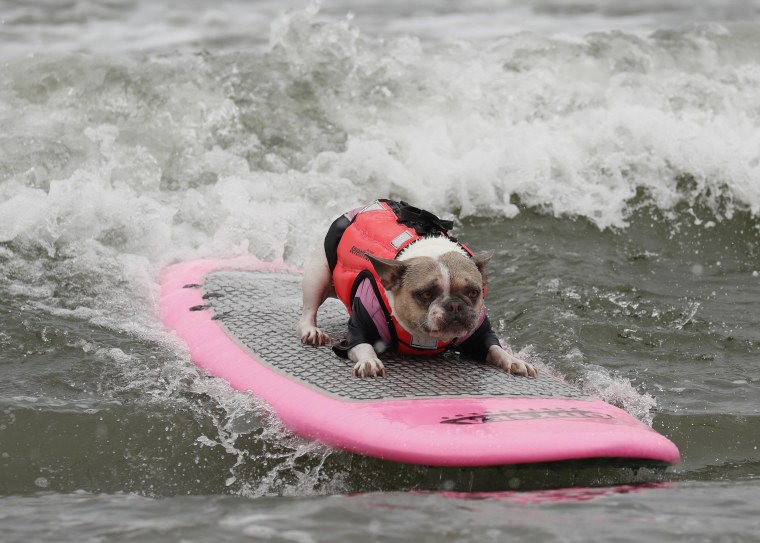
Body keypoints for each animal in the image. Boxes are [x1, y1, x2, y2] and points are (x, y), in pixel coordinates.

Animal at [294, 199, 536, 378]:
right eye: (426, 294)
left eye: (473, 292)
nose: (455, 306)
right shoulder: (358, 330)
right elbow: (363, 345)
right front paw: (370, 361)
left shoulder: (479, 334)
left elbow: (495, 348)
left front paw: (514, 360)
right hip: (318, 274)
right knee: (309, 309)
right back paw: (311, 331)